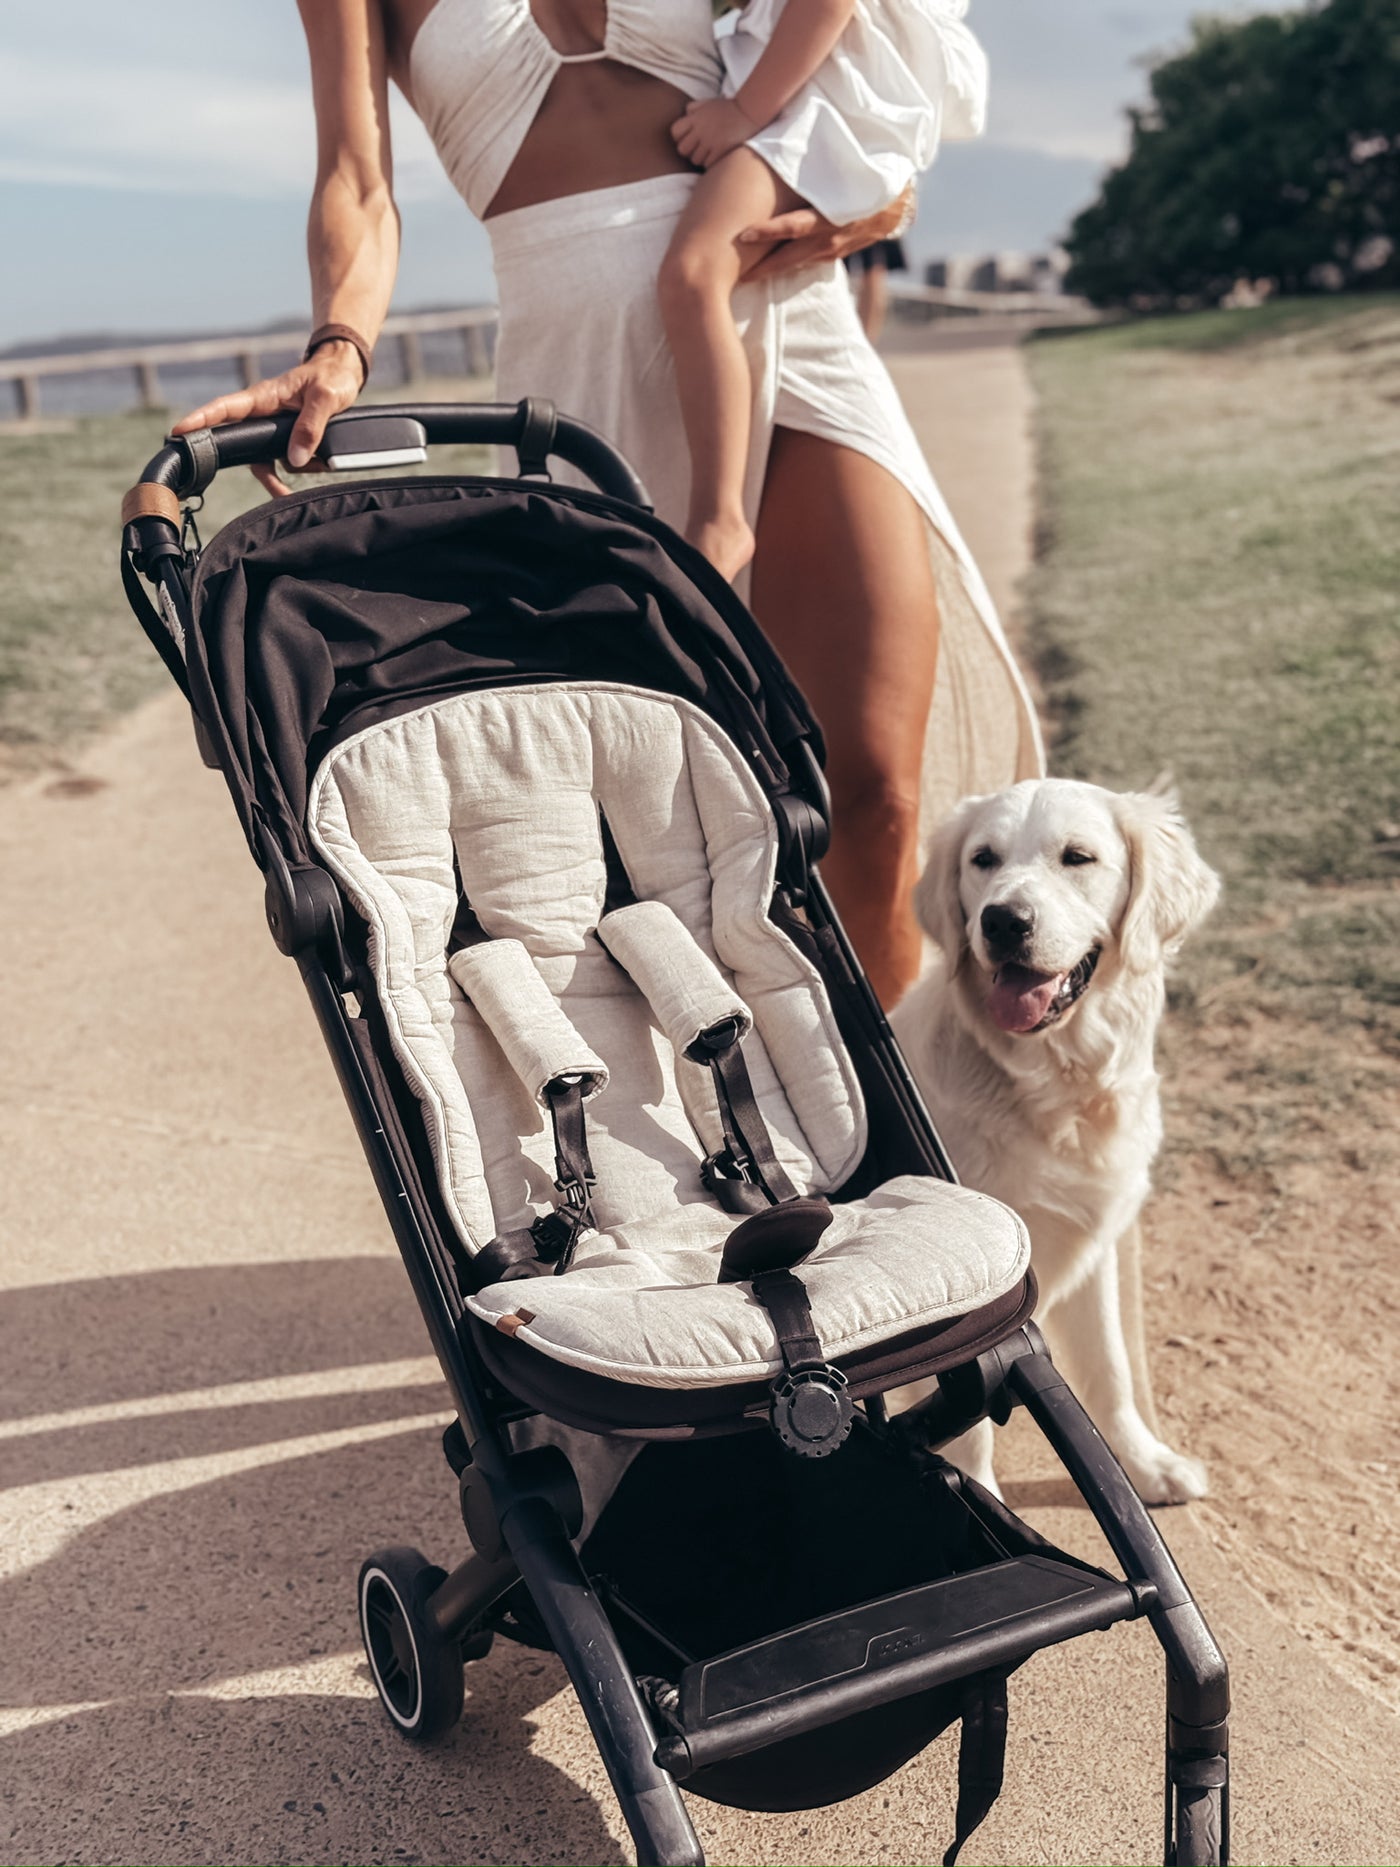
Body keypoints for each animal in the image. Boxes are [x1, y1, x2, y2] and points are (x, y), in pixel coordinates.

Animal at [892, 772, 1224, 1501]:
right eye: (983, 859)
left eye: (1078, 857)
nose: (1002, 921)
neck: (1058, 1089)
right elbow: (971, 1418)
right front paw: (979, 1497)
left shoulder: (1093, 1240)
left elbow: (1110, 1366)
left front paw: (1144, 1463)